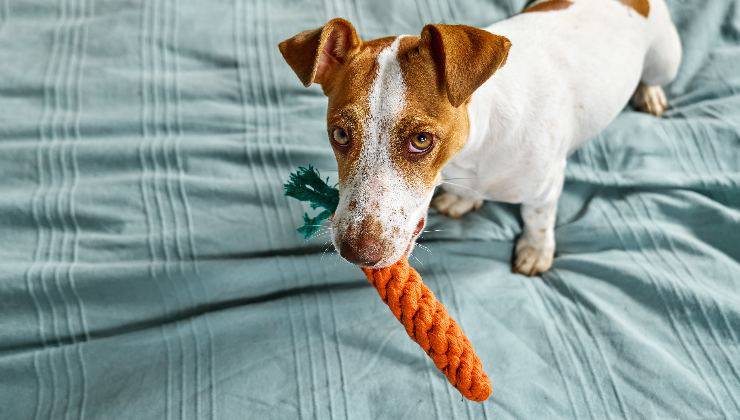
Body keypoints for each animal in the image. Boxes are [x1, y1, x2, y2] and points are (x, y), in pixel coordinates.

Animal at [278, 0, 684, 276]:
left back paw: (650, 93)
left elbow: (538, 220)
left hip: (666, 59)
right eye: (340, 134)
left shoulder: (546, 186)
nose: (356, 253)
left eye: (421, 140)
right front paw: (463, 199)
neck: (475, 146)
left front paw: (535, 251)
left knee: (655, 76)